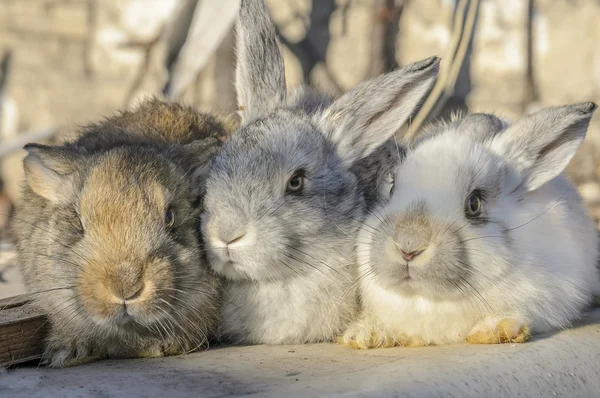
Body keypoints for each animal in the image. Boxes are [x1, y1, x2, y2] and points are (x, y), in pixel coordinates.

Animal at [340, 102, 600, 348]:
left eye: (474, 204)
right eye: (392, 187)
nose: (408, 248)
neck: (429, 300)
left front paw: (495, 331)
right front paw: (366, 335)